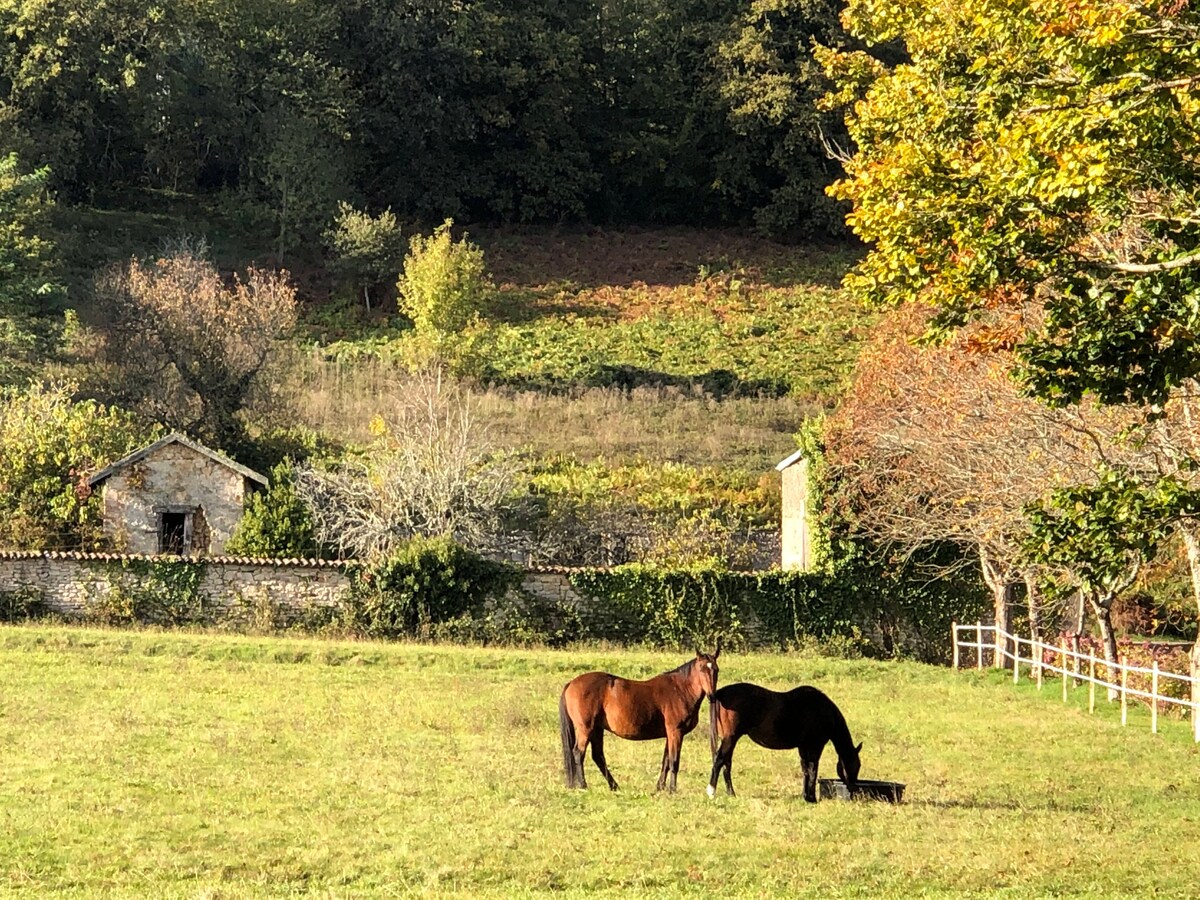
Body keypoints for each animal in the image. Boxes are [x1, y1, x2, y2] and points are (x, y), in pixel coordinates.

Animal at [556, 648, 715, 796]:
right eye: (701, 668)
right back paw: (583, 785)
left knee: (598, 756)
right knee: (579, 753)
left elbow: (666, 761)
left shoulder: (670, 734)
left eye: (716, 669)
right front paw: (672, 789)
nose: (712, 695)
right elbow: (674, 761)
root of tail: (571, 684)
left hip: (596, 729)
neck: (680, 690)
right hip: (586, 728)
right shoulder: (676, 732)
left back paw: (614, 786)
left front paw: (660, 787)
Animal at [705, 681, 859, 801]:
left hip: (729, 739)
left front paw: (805, 796)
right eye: (856, 765)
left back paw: (731, 794)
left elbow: (805, 769)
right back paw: (711, 792)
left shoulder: (803, 747)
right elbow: (813, 769)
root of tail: (720, 693)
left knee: (726, 764)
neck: (823, 711)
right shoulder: (815, 746)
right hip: (730, 738)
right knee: (719, 760)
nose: (853, 788)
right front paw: (812, 798)